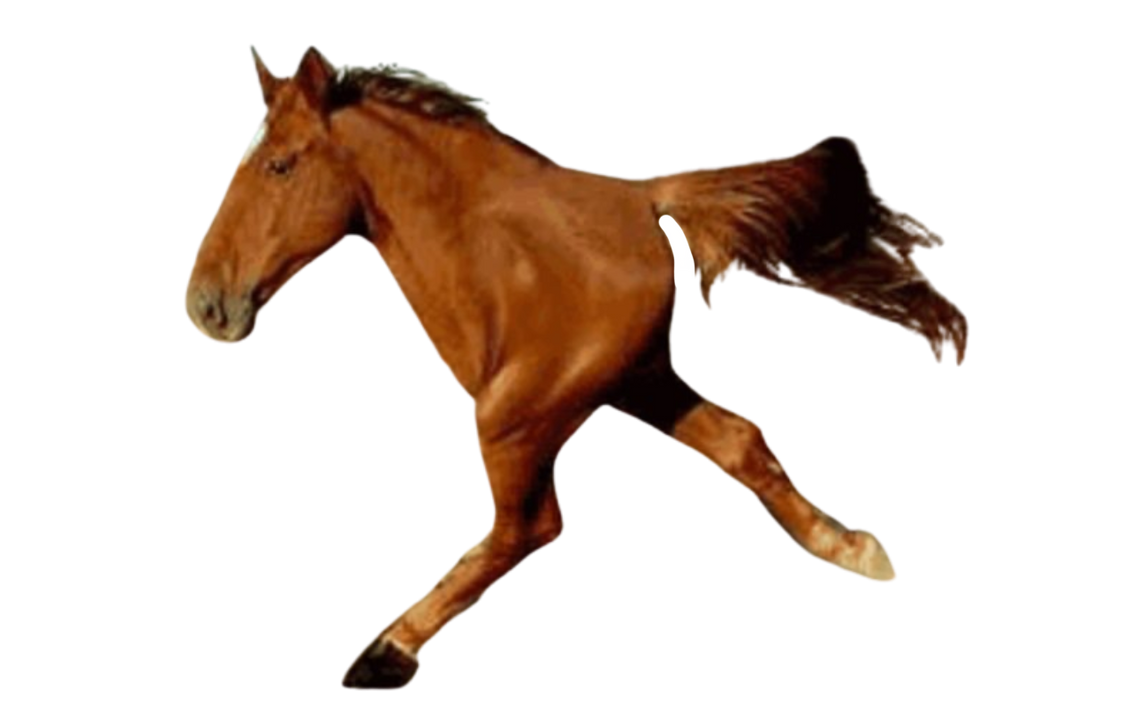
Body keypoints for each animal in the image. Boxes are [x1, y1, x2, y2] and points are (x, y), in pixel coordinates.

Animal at [181, 43, 971, 693]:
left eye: (281, 165)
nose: (203, 306)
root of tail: (647, 198)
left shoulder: (523, 408)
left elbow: (527, 527)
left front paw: (386, 653)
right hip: (636, 381)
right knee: (740, 439)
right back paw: (854, 548)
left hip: (521, 411)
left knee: (531, 525)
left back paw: (387, 651)